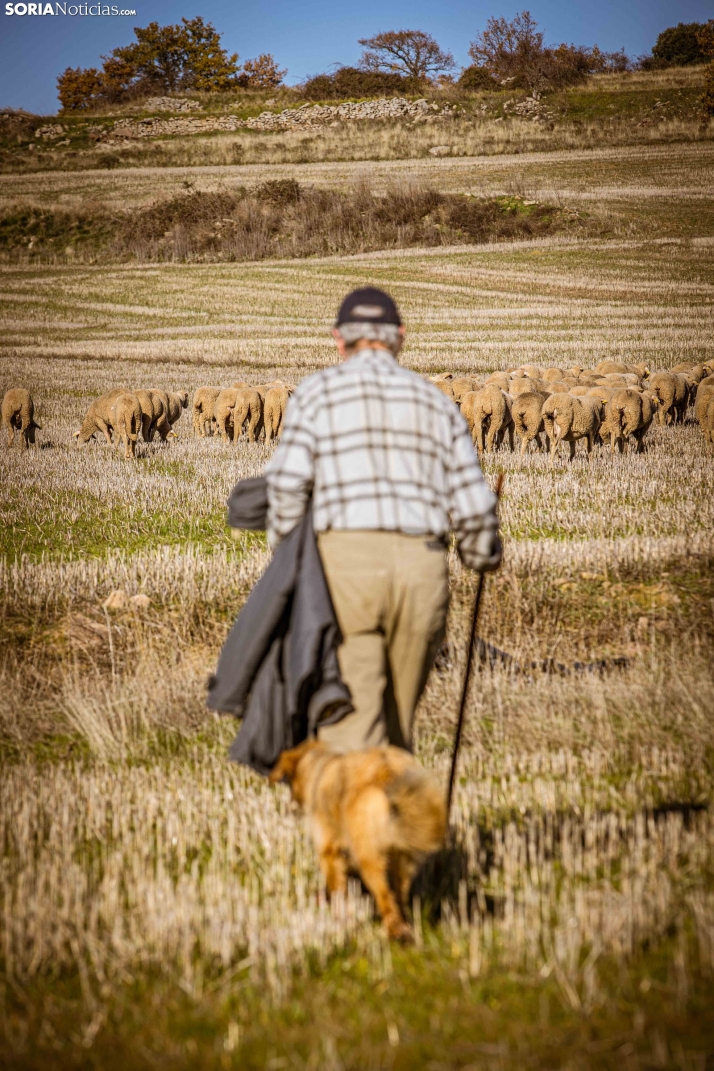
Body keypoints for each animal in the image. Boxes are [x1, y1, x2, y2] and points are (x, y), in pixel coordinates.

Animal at [267, 741, 447, 942]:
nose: (289, 808)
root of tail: (387, 772)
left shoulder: (328, 850)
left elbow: (336, 885)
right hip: (403, 857)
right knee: (399, 893)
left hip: (369, 856)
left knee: (385, 896)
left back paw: (394, 931)